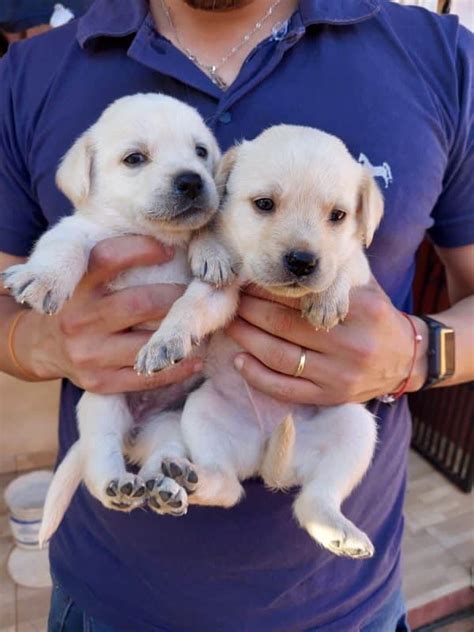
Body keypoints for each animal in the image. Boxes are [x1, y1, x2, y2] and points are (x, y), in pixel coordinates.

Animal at [2, 94, 226, 544]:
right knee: (98, 465)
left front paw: (209, 252)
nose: (192, 180)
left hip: (172, 423)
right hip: (102, 407)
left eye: (200, 151)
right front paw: (43, 277)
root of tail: (136, 431)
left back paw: (166, 486)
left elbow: (196, 286)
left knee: (162, 456)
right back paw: (119, 486)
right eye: (134, 158)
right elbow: (65, 244)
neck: (158, 236)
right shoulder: (83, 232)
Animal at [132, 127, 382, 556]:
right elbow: (190, 305)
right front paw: (164, 342)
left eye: (338, 215)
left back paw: (341, 532)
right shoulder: (221, 288)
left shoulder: (361, 268)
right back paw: (187, 479)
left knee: (316, 497)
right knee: (229, 487)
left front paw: (327, 297)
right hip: (203, 413)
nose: (302, 261)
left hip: (356, 428)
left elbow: (346, 264)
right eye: (264, 204)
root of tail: (267, 458)